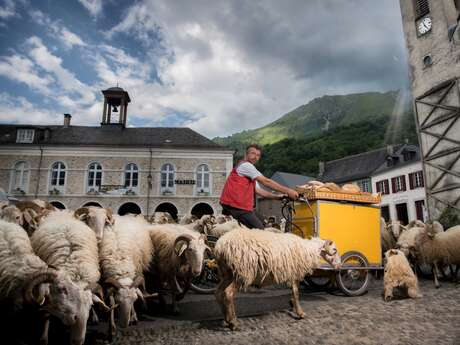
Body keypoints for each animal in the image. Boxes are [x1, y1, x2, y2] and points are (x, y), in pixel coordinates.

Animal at [30, 210, 108, 344]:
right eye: (62, 290)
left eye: (90, 305)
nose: (78, 341)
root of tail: (61, 212)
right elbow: (45, 314)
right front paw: (44, 338)